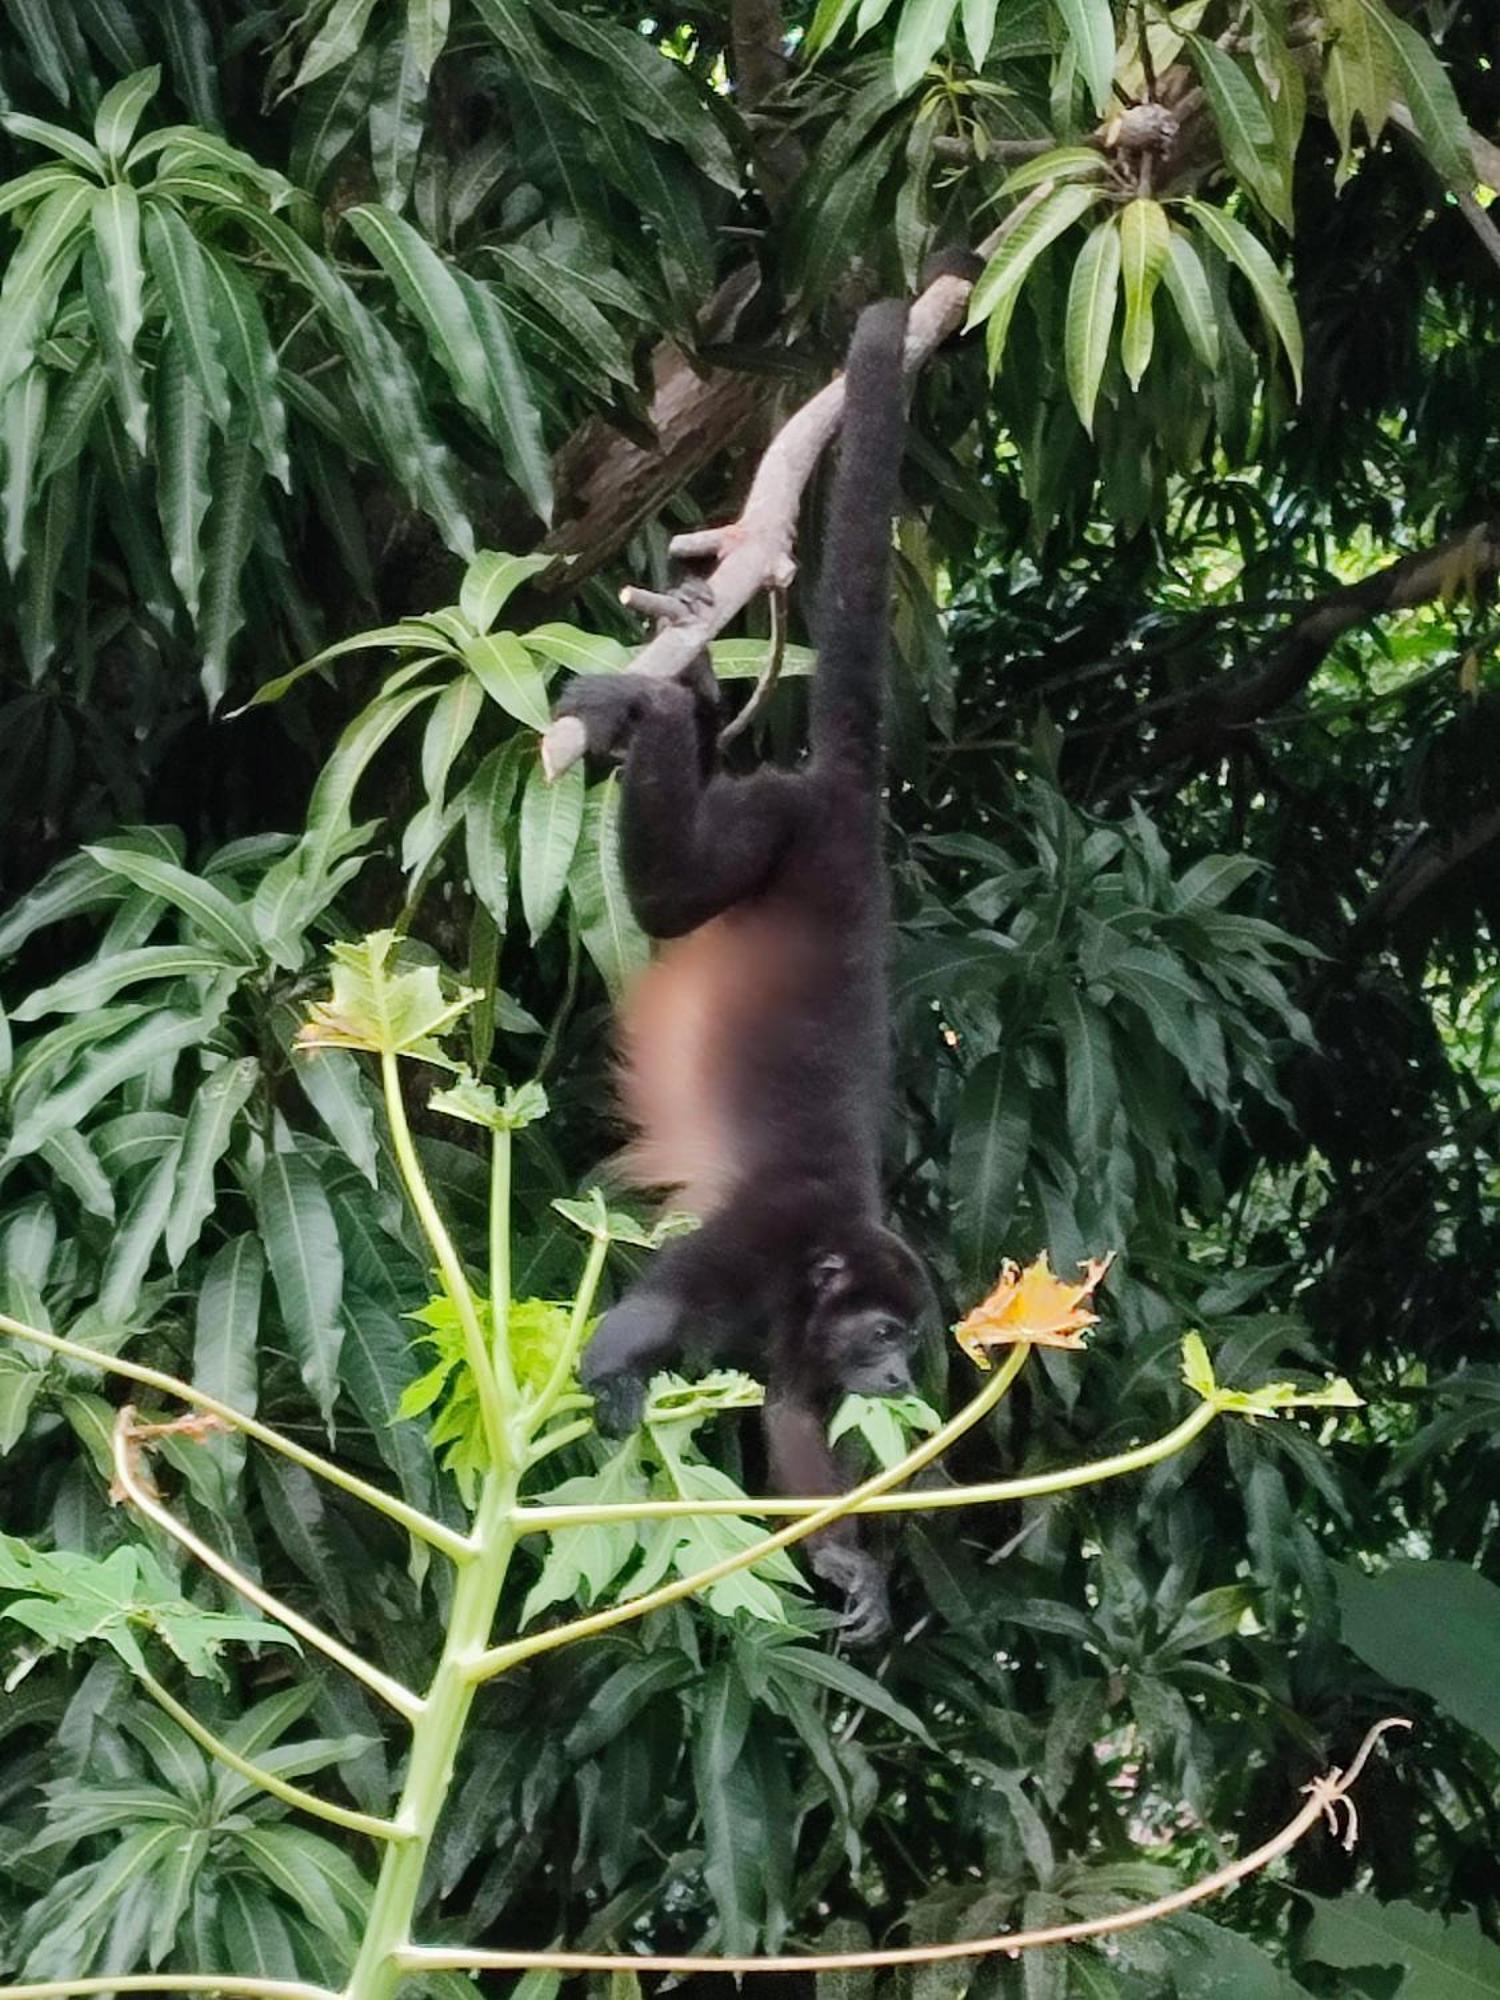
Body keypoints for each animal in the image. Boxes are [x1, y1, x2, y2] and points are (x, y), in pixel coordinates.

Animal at [551, 298, 925, 1644]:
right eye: (885, 1331)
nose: (901, 1373)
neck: (821, 1259)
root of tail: (850, 812)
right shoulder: (759, 1241)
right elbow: (654, 1317)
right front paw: (614, 1375)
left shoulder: (790, 1330)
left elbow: (793, 1412)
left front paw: (858, 1564)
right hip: (775, 828)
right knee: (672, 887)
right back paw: (661, 710)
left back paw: (697, 678)